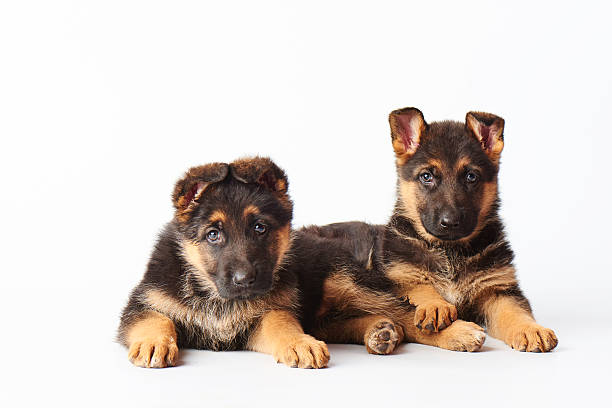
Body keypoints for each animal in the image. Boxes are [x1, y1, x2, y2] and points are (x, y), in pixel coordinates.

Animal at [118, 158, 330, 368]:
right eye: (213, 234)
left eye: (259, 227)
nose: (244, 280)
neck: (218, 299)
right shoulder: (142, 304)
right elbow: (155, 319)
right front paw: (154, 343)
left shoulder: (262, 320)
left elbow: (280, 320)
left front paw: (299, 342)